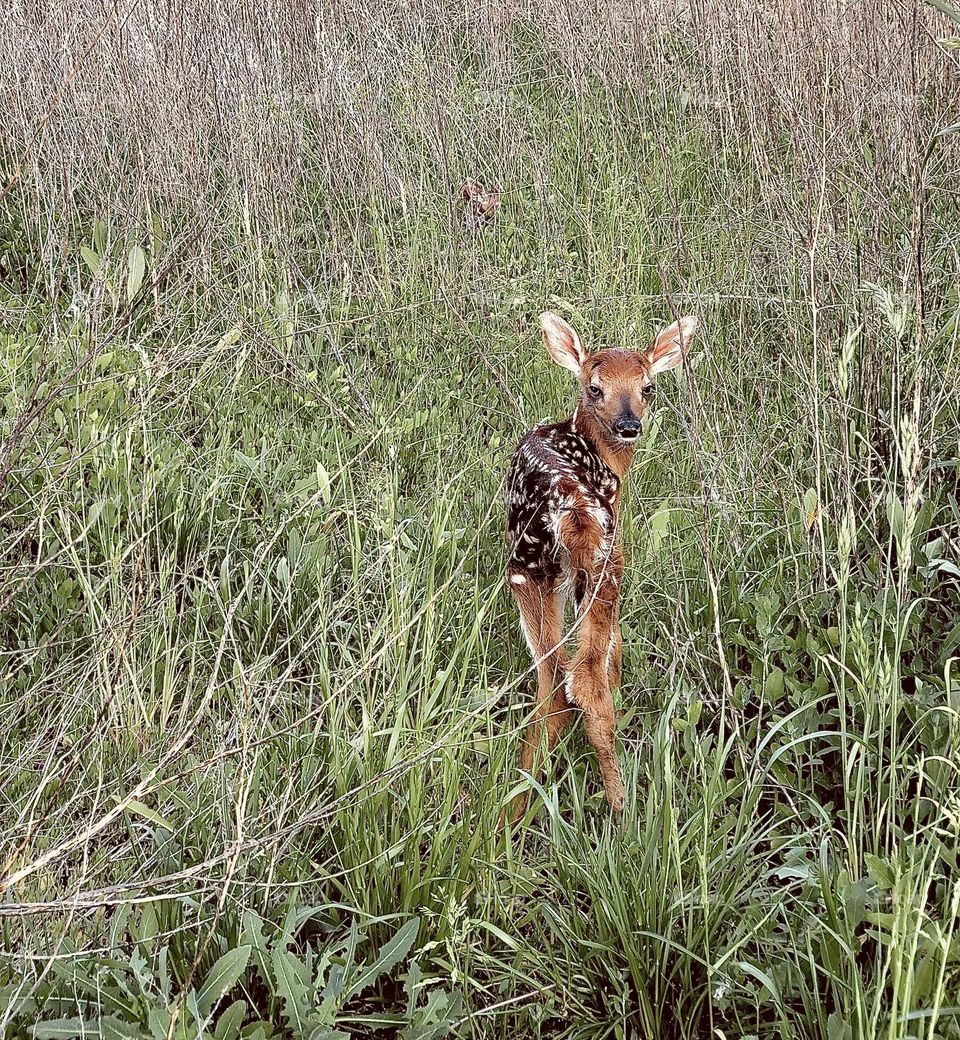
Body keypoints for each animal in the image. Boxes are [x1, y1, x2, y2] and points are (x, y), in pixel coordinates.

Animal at [504, 310, 699, 822]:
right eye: (595, 388)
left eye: (648, 386)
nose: (629, 424)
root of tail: (572, 508)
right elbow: (610, 652)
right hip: (605, 565)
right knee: (585, 679)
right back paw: (620, 804)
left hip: (528, 572)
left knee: (553, 681)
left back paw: (520, 799)